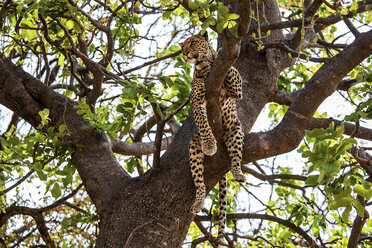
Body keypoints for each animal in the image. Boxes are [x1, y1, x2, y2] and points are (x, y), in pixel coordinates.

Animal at [180, 32, 247, 245]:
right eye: (182, 47)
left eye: (192, 43)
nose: (185, 53)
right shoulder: (197, 100)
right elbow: (203, 122)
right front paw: (209, 145)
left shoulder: (237, 91)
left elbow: (233, 72)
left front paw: (221, 54)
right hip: (193, 145)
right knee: (199, 181)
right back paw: (198, 202)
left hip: (235, 129)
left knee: (235, 156)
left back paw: (238, 172)